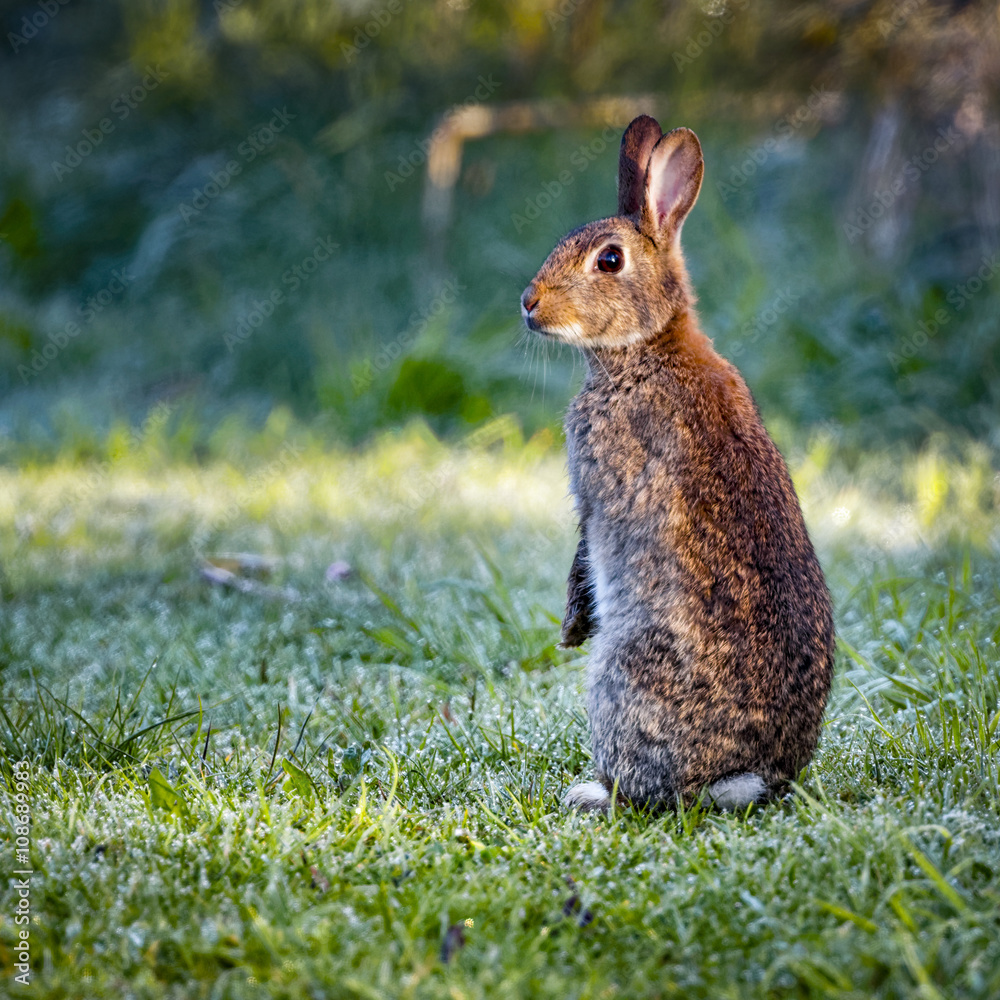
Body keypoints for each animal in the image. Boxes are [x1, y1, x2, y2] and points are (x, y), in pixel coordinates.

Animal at [520, 116, 834, 812]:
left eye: (609, 260)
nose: (528, 303)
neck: (646, 347)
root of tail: (744, 775)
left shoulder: (596, 490)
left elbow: (583, 548)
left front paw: (571, 627)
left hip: (622, 673)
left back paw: (590, 793)